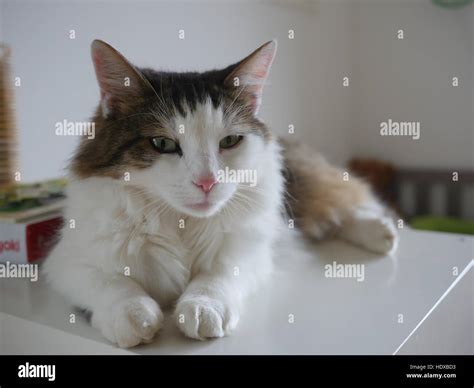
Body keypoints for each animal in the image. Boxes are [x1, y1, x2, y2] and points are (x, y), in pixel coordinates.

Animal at [42, 40, 398, 348]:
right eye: (162, 143)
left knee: (345, 205)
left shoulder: (250, 252)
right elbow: (112, 283)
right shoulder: (66, 261)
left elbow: (215, 275)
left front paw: (202, 307)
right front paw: (133, 313)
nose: (207, 182)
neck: (180, 222)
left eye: (229, 141)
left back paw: (382, 233)